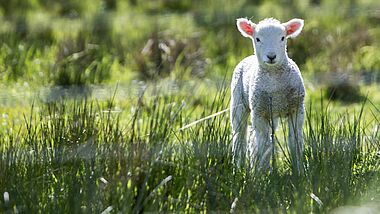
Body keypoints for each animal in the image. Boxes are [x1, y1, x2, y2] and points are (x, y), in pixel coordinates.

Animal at [229, 17, 306, 172]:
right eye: (257, 39)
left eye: (283, 38)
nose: (271, 56)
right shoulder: (259, 113)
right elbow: (264, 145)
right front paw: (262, 173)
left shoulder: (296, 109)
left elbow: (295, 142)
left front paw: (299, 171)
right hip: (238, 103)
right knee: (240, 137)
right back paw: (239, 168)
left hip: (272, 114)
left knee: (257, 138)